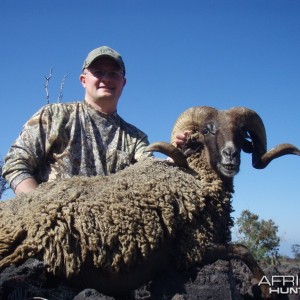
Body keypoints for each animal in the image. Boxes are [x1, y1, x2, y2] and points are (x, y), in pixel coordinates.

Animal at [0, 106, 298, 298]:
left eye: (241, 134)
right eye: (206, 130)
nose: (231, 157)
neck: (193, 177)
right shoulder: (194, 248)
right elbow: (244, 250)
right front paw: (265, 289)